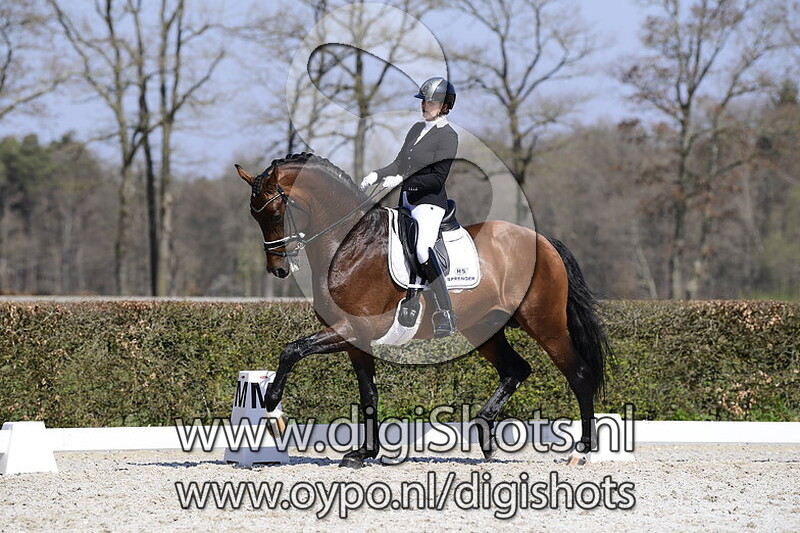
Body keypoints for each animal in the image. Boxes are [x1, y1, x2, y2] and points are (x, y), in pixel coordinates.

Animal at [234, 152, 612, 468]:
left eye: (275, 213)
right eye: (254, 216)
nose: (278, 270)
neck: (349, 242)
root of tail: (544, 241)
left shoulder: (353, 328)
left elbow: (292, 349)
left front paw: (271, 403)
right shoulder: (356, 340)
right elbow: (368, 392)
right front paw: (363, 453)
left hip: (545, 322)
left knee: (578, 374)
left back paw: (580, 452)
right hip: (484, 327)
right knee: (515, 370)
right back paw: (484, 435)